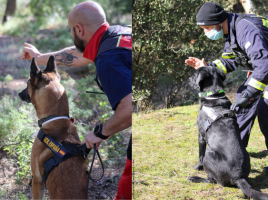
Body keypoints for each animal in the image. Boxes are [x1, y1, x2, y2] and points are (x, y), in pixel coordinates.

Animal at [188, 66, 268, 199]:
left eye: (194, 75)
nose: (188, 79)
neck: (213, 95)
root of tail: (238, 177)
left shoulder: (201, 136)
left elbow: (200, 155)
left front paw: (197, 167)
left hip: (209, 154)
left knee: (211, 180)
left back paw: (195, 178)